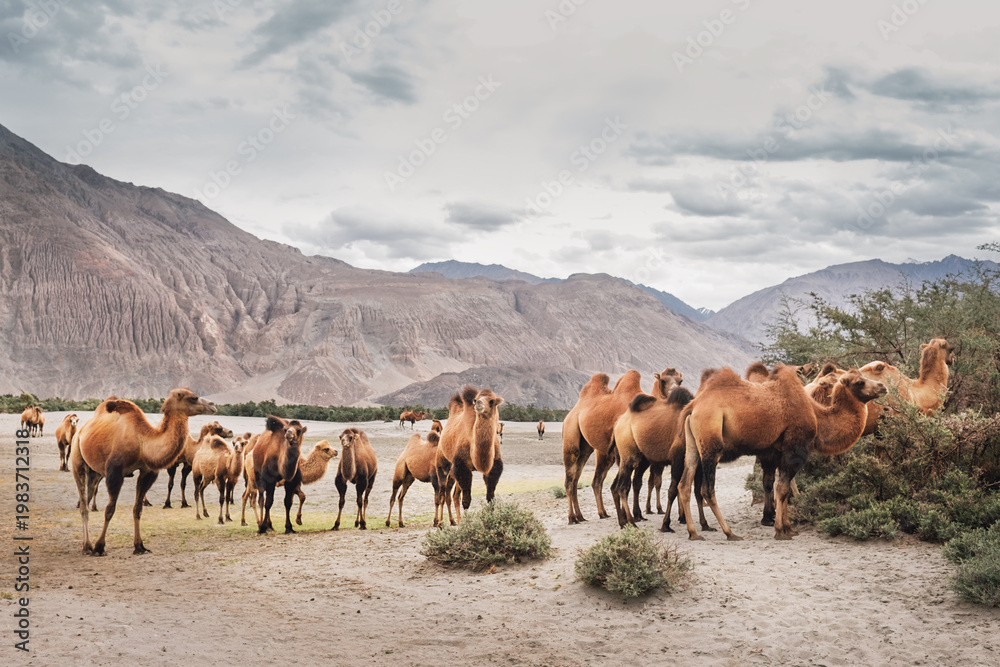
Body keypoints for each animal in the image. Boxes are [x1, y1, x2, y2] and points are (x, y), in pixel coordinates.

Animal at [70, 388, 217, 555]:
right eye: (193, 398)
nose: (213, 405)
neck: (143, 443)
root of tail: (81, 431)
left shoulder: (147, 472)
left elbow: (138, 509)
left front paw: (139, 546)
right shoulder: (115, 472)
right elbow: (110, 509)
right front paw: (99, 547)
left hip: (95, 472)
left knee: (86, 500)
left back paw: (86, 544)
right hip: (77, 461)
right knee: (84, 505)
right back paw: (87, 546)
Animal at [434, 386, 504, 525]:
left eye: (492, 401)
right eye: (475, 399)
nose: (478, 404)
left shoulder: (494, 467)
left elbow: (490, 497)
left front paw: (492, 520)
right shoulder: (461, 466)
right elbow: (466, 501)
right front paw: (467, 524)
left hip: (453, 472)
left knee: (452, 494)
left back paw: (454, 521)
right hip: (442, 462)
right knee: (442, 491)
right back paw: (439, 523)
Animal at [562, 370, 644, 524]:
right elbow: (624, 484)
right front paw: (628, 518)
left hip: (587, 447)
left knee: (579, 478)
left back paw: (584, 515)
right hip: (571, 435)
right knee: (570, 478)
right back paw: (571, 518)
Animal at [679, 366, 885, 541]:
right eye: (859, 382)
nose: (882, 387)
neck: (817, 417)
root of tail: (693, 407)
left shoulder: (777, 452)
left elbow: (781, 487)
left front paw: (788, 527)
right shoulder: (795, 449)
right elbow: (783, 488)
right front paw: (780, 530)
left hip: (693, 446)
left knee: (685, 484)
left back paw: (693, 533)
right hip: (711, 443)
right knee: (707, 489)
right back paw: (730, 533)